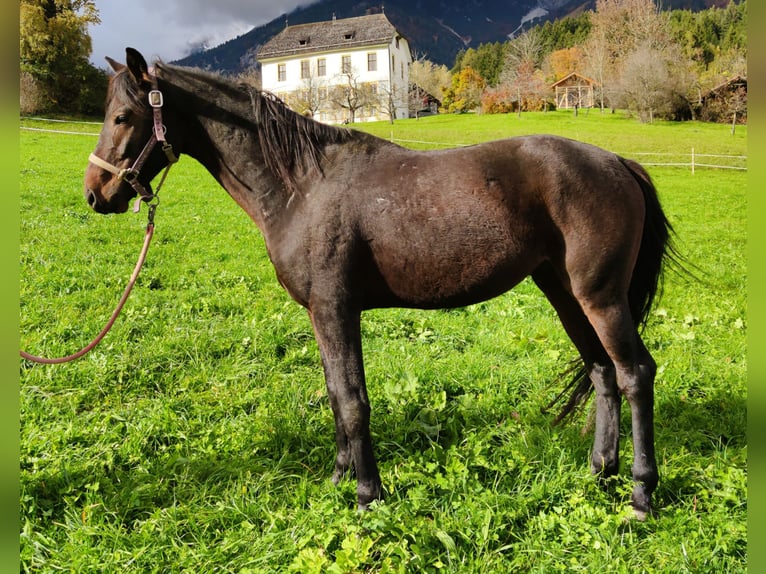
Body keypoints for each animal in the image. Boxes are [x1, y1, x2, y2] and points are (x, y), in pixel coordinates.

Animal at [85, 48, 679, 519]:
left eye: (122, 116)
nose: (96, 193)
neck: (302, 184)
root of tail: (617, 163)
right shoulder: (319, 314)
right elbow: (333, 394)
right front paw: (340, 477)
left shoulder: (336, 309)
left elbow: (353, 400)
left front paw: (368, 493)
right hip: (565, 295)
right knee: (601, 371)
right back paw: (599, 470)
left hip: (601, 297)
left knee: (635, 374)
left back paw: (641, 494)